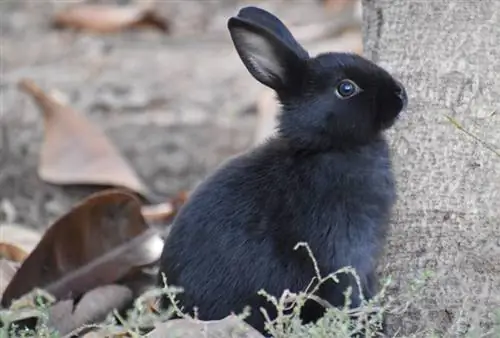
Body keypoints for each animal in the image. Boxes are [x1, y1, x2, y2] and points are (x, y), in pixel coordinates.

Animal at [158, 5, 408, 338]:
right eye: (346, 88)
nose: (400, 94)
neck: (325, 148)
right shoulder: (341, 250)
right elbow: (350, 292)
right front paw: (368, 325)